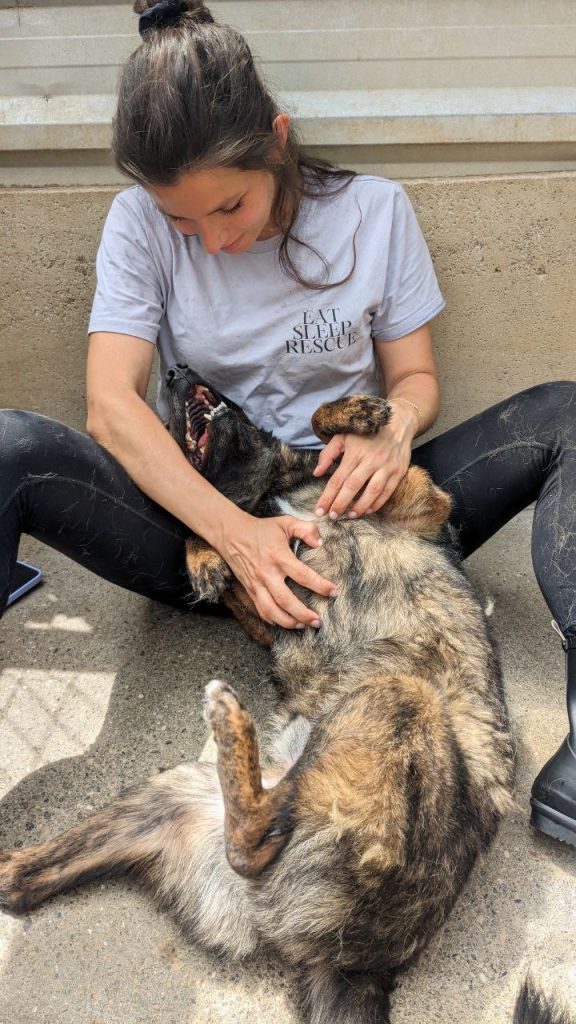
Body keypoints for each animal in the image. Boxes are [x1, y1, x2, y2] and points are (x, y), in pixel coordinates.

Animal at [0, 368, 565, 1024]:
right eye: (166, 415)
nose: (175, 373)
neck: (266, 490)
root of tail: (363, 964)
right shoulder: (265, 604)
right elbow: (206, 523)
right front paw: (206, 553)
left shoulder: (419, 497)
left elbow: (325, 432)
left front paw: (359, 417)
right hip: (183, 793)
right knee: (236, 840)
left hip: (377, 706)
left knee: (244, 838)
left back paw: (229, 723)